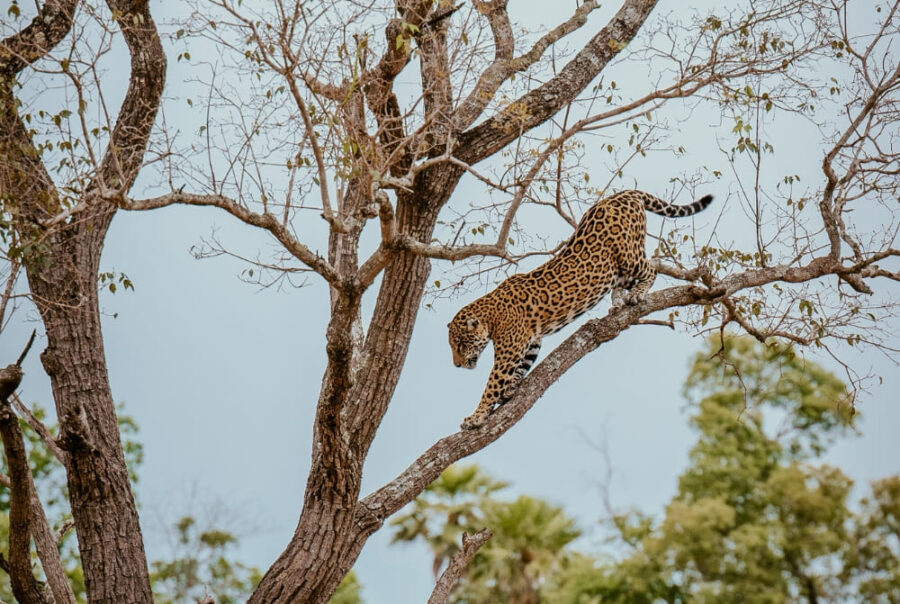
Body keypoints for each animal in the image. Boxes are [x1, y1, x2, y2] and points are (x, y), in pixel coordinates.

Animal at [448, 189, 714, 430]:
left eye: (460, 345)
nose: (457, 365)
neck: (491, 315)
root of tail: (622, 193)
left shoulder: (508, 351)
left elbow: (491, 385)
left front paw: (475, 417)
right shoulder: (532, 340)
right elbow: (524, 365)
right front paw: (511, 388)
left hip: (629, 255)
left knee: (651, 268)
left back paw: (637, 294)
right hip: (616, 269)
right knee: (624, 281)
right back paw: (618, 302)